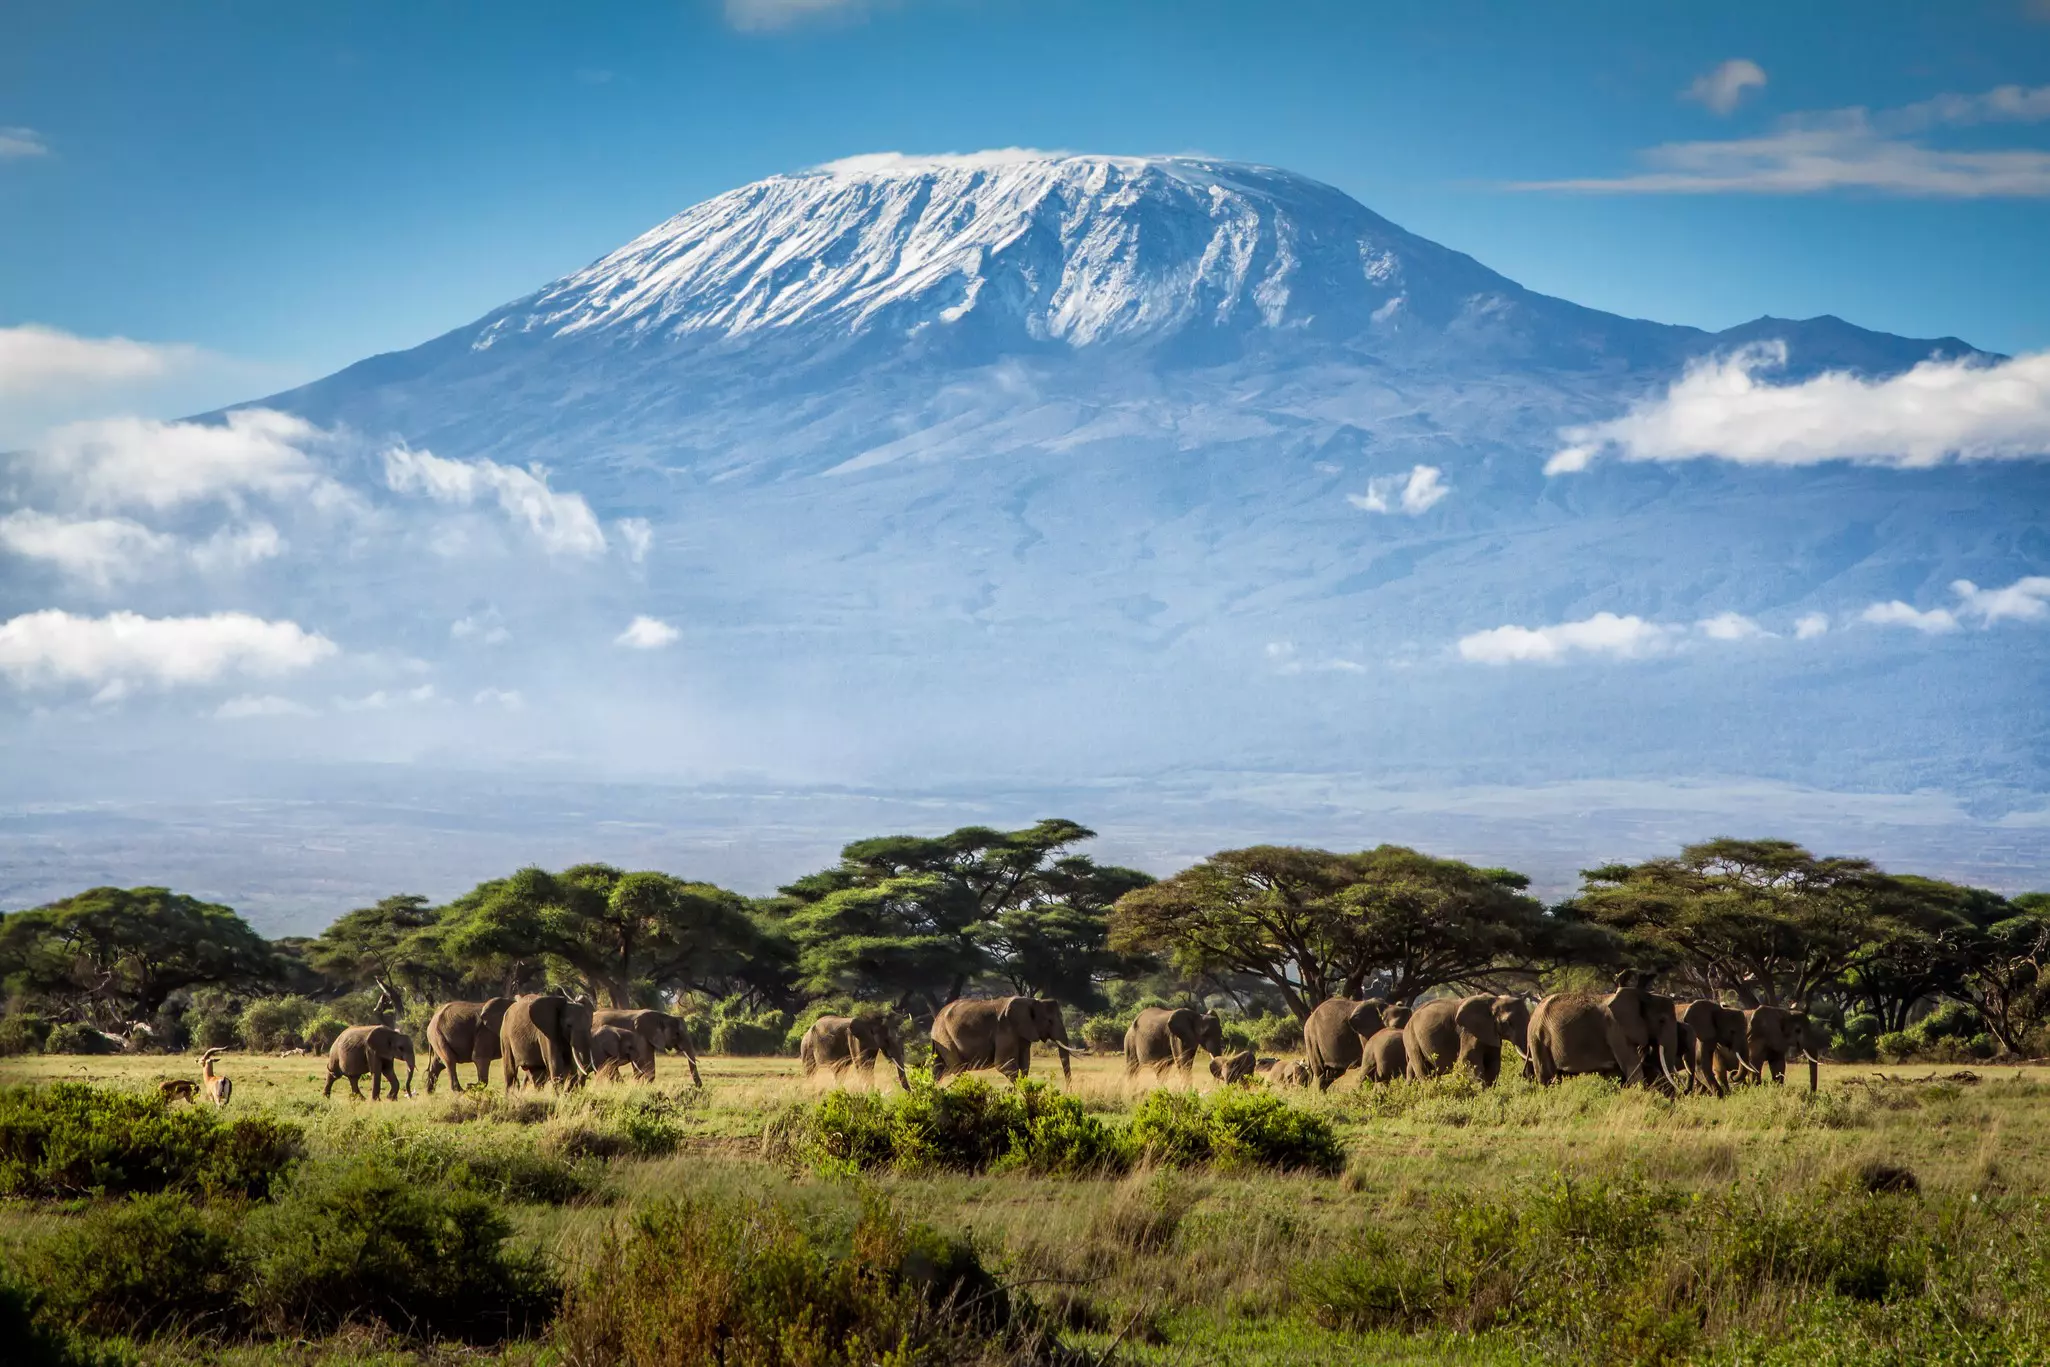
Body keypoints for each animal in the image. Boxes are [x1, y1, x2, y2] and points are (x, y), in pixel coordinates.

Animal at [929, 996, 1083, 1083]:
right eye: (1049, 1021)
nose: (1069, 1093)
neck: (1033, 1002)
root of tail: (935, 1022)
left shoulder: (1022, 1033)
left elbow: (1025, 1065)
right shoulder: (1005, 1029)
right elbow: (1003, 1064)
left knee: (939, 1069)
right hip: (945, 1038)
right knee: (957, 1069)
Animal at [1527, 977, 1683, 1090]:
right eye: (1662, 1020)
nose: (1683, 1091)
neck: (1644, 995)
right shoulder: (1616, 1028)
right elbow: (1631, 1066)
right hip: (1538, 1037)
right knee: (1545, 1076)